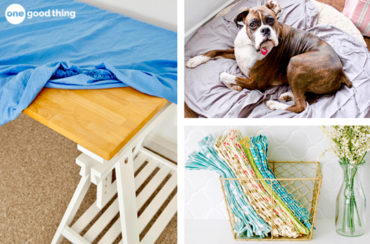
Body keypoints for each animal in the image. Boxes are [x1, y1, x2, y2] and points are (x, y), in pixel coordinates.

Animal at [186, 0, 352, 112]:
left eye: (271, 20)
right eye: (253, 24)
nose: (265, 30)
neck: (250, 45)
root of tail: (341, 72)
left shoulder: (255, 83)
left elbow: (223, 75)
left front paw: (234, 85)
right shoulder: (235, 52)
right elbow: (214, 51)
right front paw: (195, 60)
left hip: (295, 62)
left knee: (301, 105)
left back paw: (274, 104)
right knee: (304, 96)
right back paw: (287, 95)